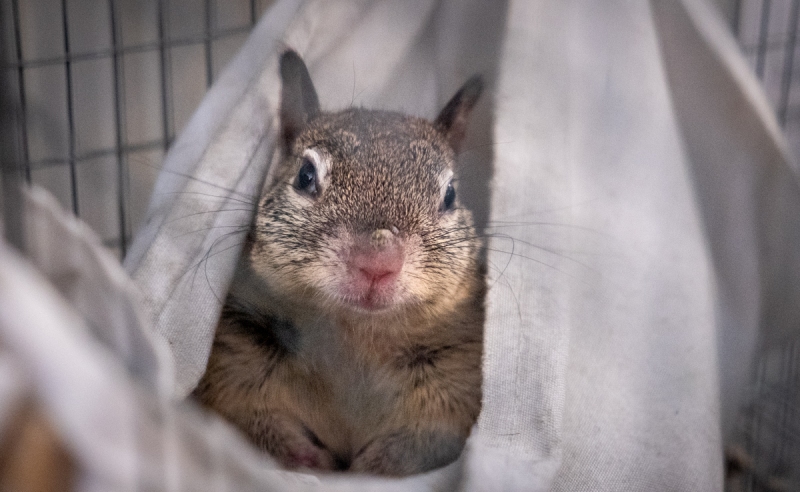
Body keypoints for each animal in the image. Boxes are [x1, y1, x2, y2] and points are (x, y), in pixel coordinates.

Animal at [194, 50, 486, 476]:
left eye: (450, 195)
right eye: (305, 175)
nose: (377, 262)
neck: (355, 332)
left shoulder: (457, 376)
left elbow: (432, 438)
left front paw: (377, 464)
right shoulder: (236, 358)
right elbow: (247, 420)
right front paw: (305, 458)